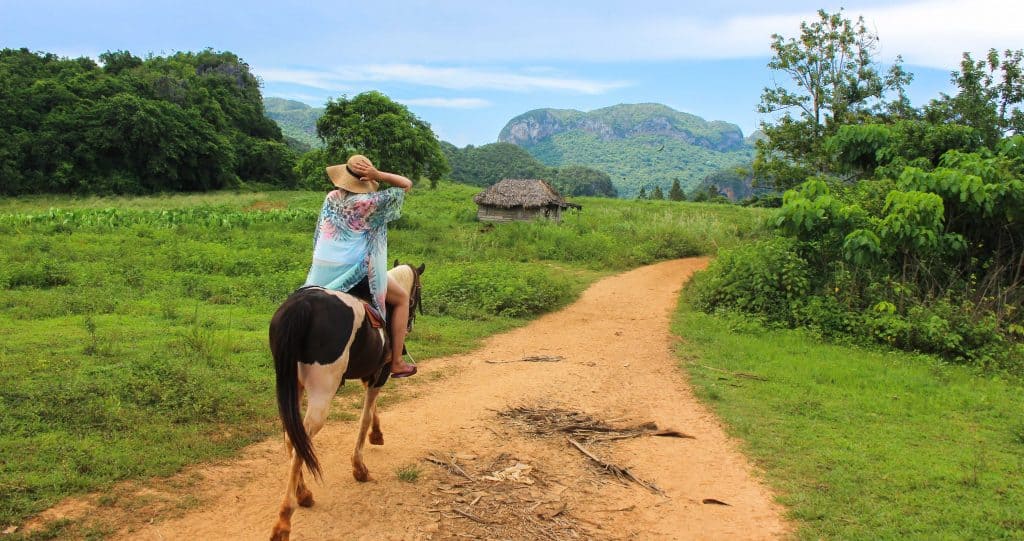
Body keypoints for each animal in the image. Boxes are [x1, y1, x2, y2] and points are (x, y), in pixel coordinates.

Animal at [268, 262, 423, 541]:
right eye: (418, 291)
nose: (410, 325)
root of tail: (303, 305)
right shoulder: (381, 373)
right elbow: (365, 415)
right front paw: (360, 468)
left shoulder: (368, 373)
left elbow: (371, 411)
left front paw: (377, 435)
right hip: (322, 389)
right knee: (303, 435)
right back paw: (284, 521)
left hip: (290, 385)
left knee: (291, 435)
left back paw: (303, 494)